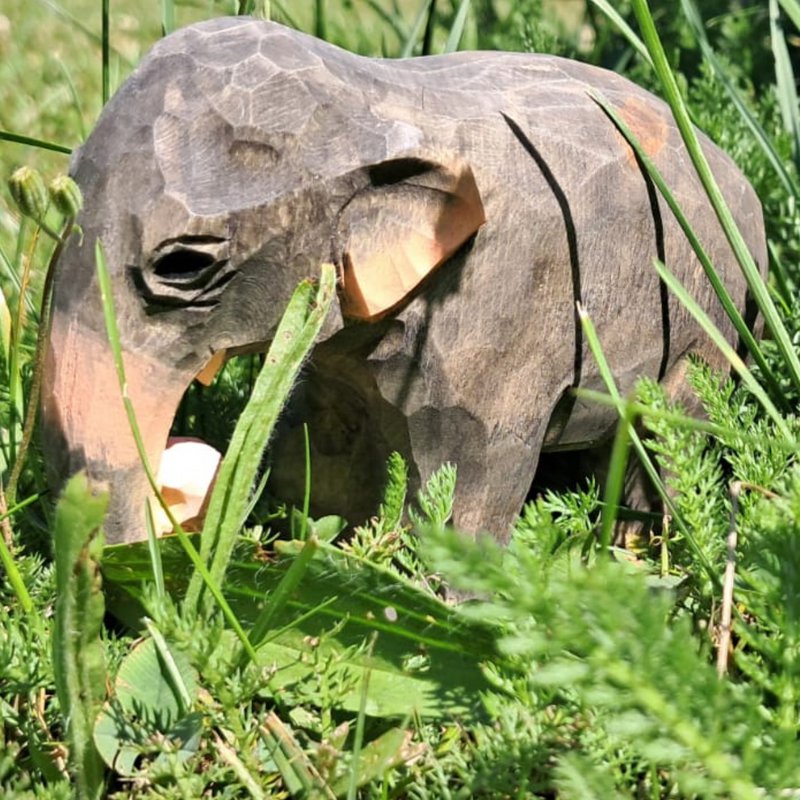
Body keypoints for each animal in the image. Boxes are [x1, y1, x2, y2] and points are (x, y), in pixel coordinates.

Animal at [41, 16, 766, 546]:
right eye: (67, 188)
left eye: (184, 265)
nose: (180, 491)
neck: (382, 96)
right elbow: (321, 443)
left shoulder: (500, 313)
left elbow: (468, 472)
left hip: (708, 328)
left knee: (673, 429)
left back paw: (637, 542)